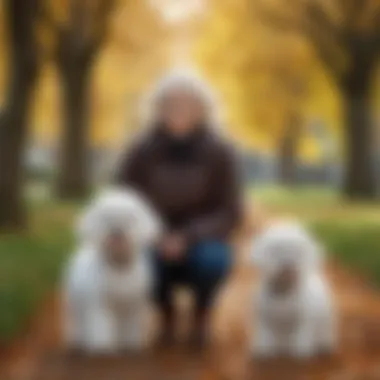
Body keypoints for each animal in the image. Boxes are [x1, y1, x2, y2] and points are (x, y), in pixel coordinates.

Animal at [63, 187, 162, 354]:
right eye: (106, 218)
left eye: (129, 218)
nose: (116, 231)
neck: (119, 268)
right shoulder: (101, 306)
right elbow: (101, 329)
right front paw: (101, 349)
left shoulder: (131, 307)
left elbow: (130, 329)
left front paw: (130, 346)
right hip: (77, 302)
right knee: (79, 321)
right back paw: (78, 339)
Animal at [252, 221, 336, 358]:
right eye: (277, 249)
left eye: (296, 251)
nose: (287, 264)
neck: (283, 292)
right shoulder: (264, 319)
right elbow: (265, 336)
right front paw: (263, 350)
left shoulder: (303, 319)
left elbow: (302, 336)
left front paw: (301, 352)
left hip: (324, 318)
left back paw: (324, 344)